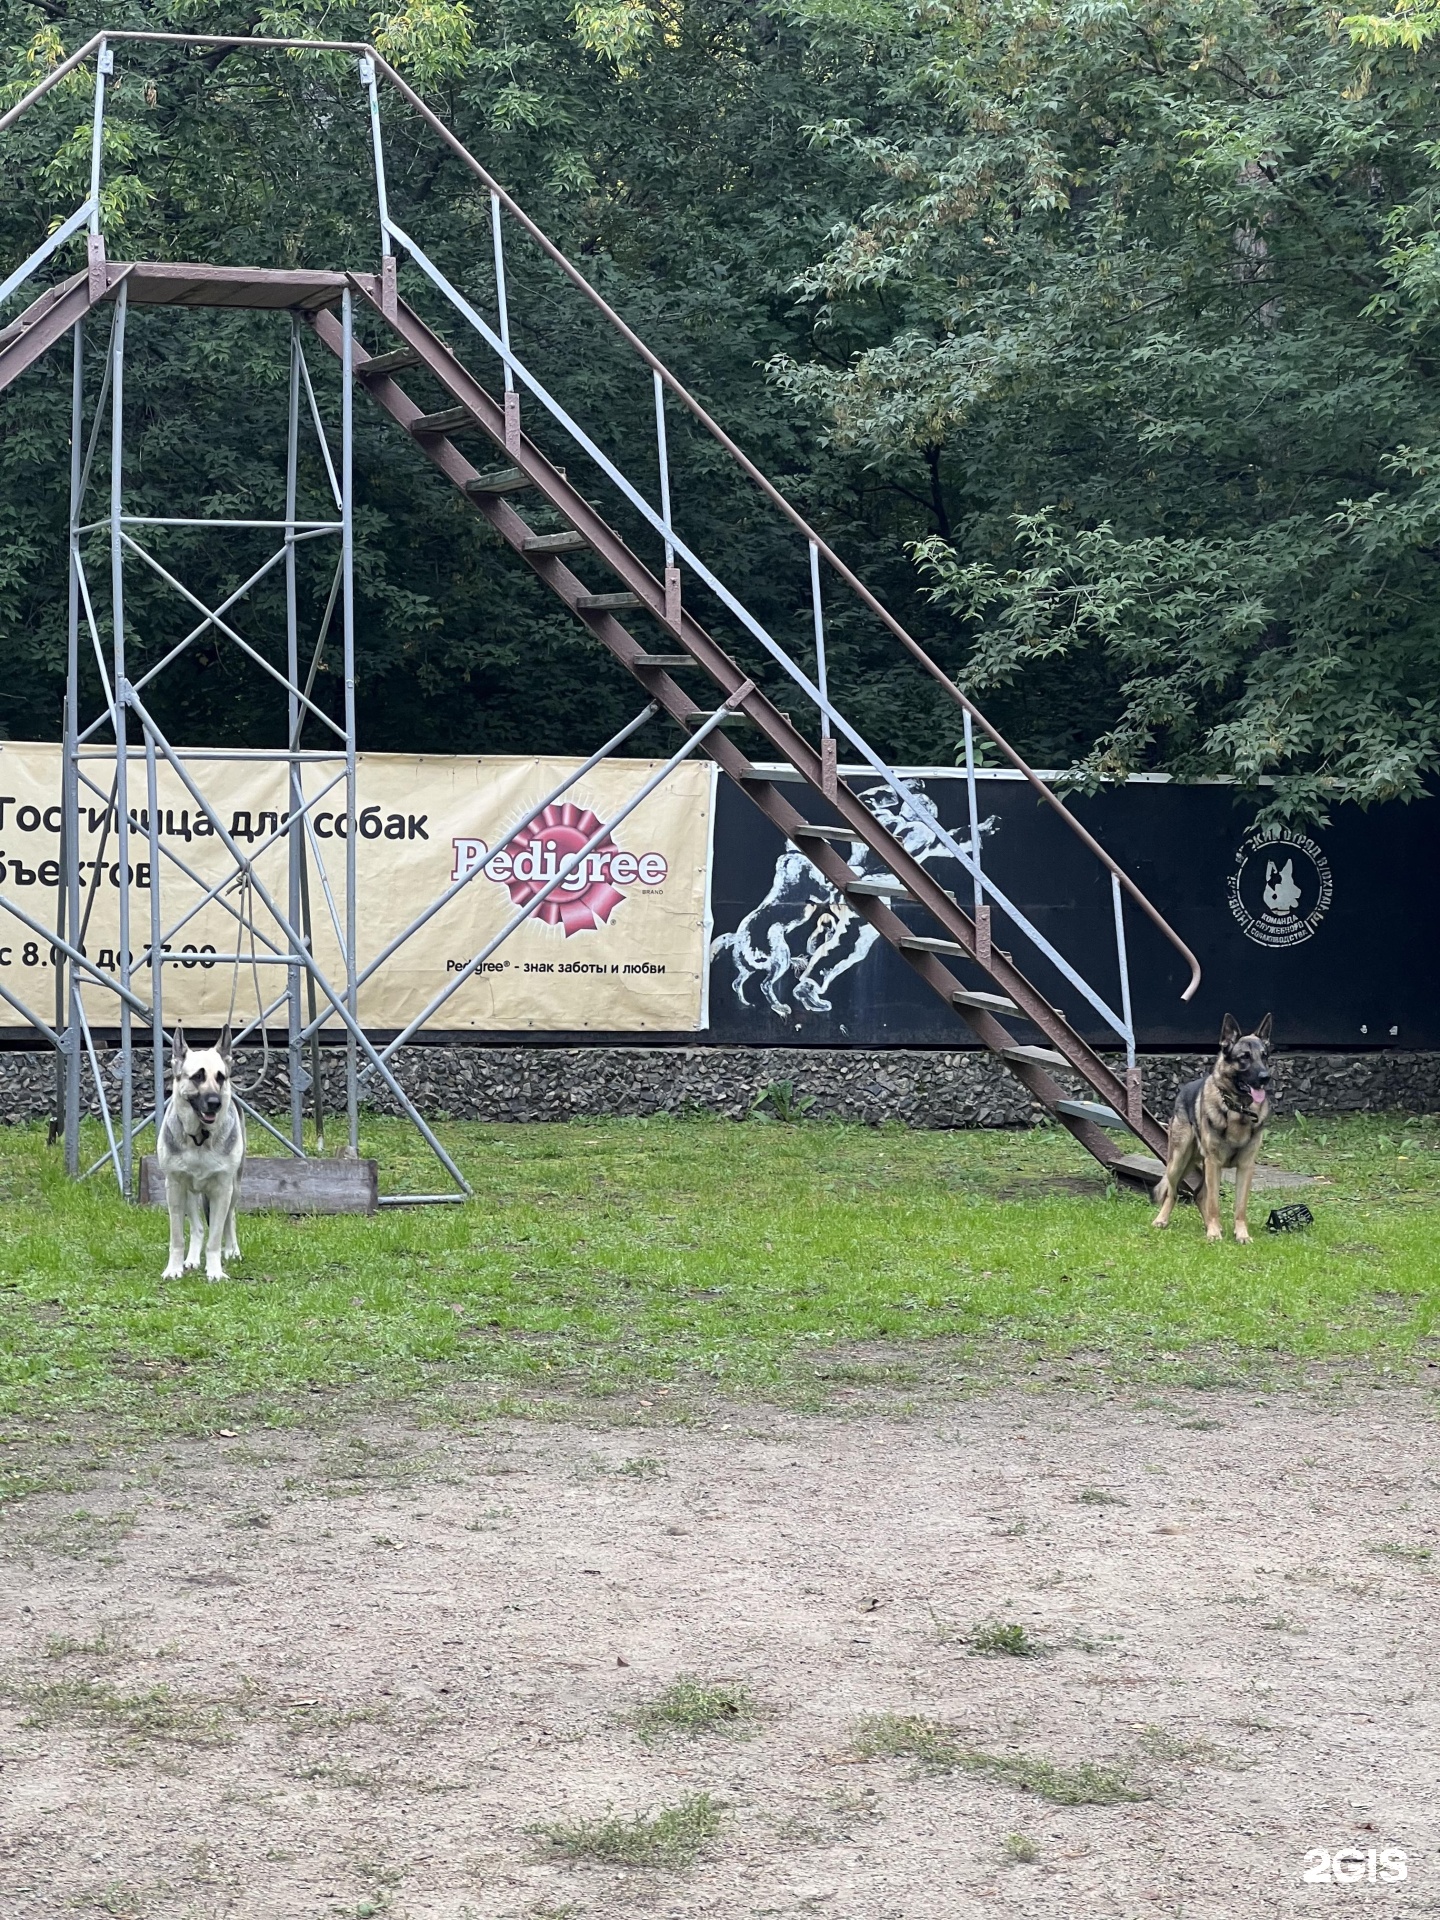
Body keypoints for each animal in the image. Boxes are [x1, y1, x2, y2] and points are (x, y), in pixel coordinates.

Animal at [160, 1029, 247, 1282]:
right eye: (198, 1077)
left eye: (221, 1078)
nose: (215, 1103)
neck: (199, 1138)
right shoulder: (174, 1187)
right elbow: (178, 1237)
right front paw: (174, 1268)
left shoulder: (222, 1190)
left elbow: (215, 1237)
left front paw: (215, 1271)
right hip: (189, 1192)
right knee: (198, 1228)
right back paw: (191, 1260)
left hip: (234, 1188)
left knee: (230, 1219)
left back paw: (232, 1250)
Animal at [1159, 1021, 1282, 1244]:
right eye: (1244, 1057)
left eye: (1264, 1056)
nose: (1265, 1078)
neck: (1238, 1110)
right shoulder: (1214, 1164)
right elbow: (1214, 1203)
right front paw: (1214, 1233)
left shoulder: (1245, 1167)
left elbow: (1239, 1207)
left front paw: (1241, 1234)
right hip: (1178, 1161)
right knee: (1172, 1192)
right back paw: (1162, 1220)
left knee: (1199, 1194)